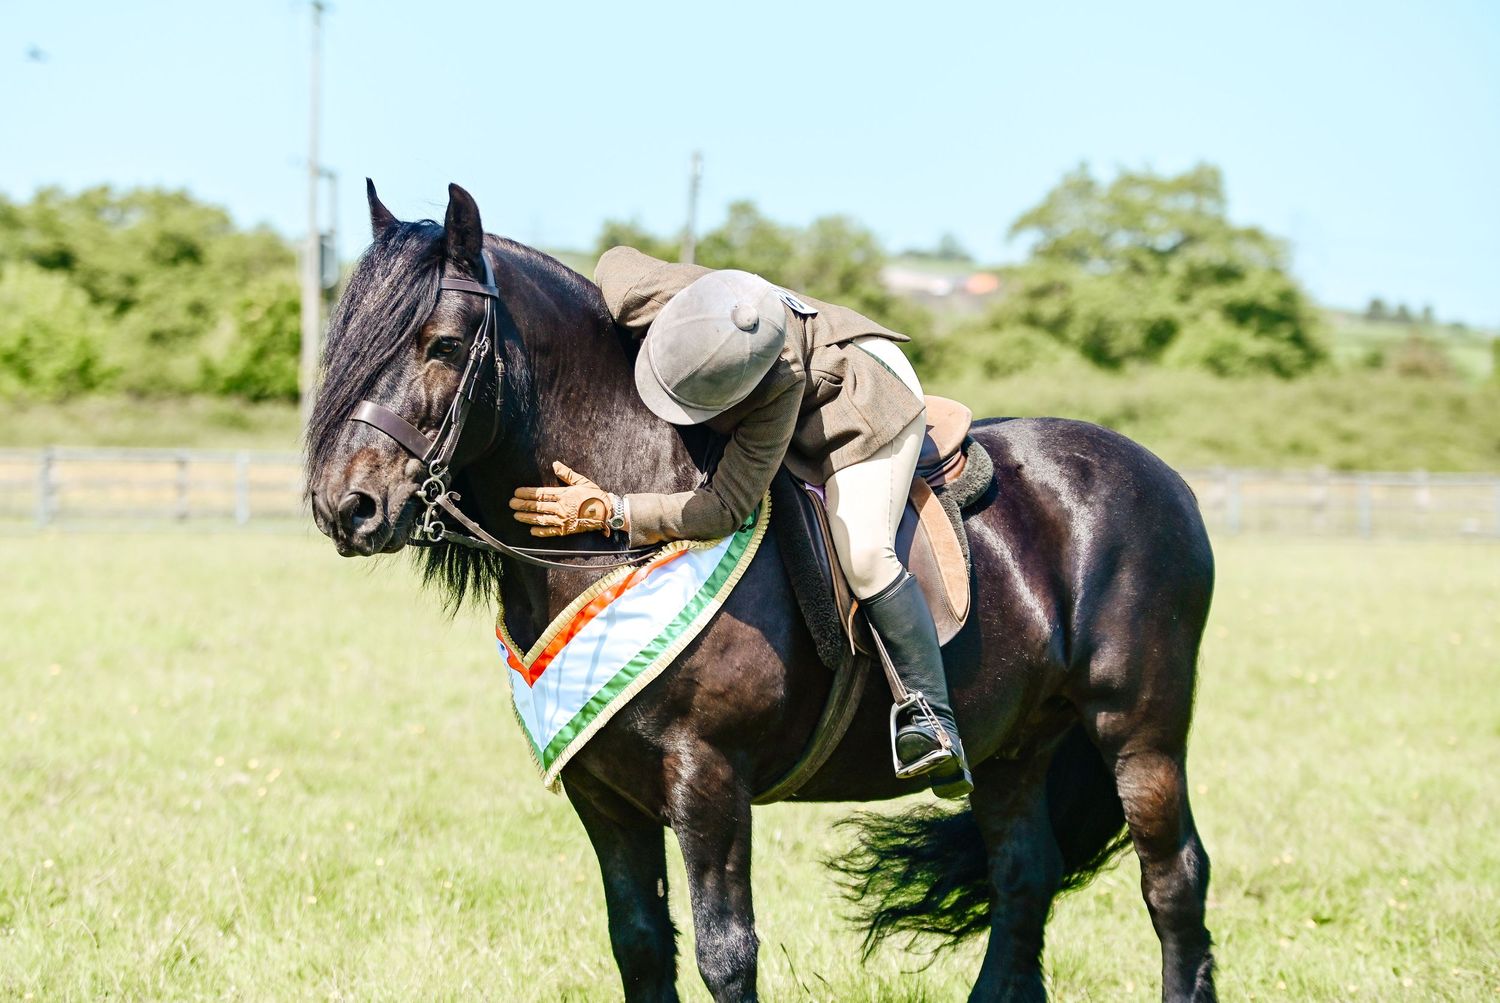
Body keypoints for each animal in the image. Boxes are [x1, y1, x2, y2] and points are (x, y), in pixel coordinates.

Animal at [305, 182, 1218, 1003]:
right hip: (1010, 747)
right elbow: (640, 943)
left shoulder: (708, 774)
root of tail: (1168, 479)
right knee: (1024, 876)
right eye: (347, 340)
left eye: (443, 344)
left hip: (1138, 729)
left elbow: (724, 952)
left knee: (1173, 877)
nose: (345, 506)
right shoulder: (602, 791)